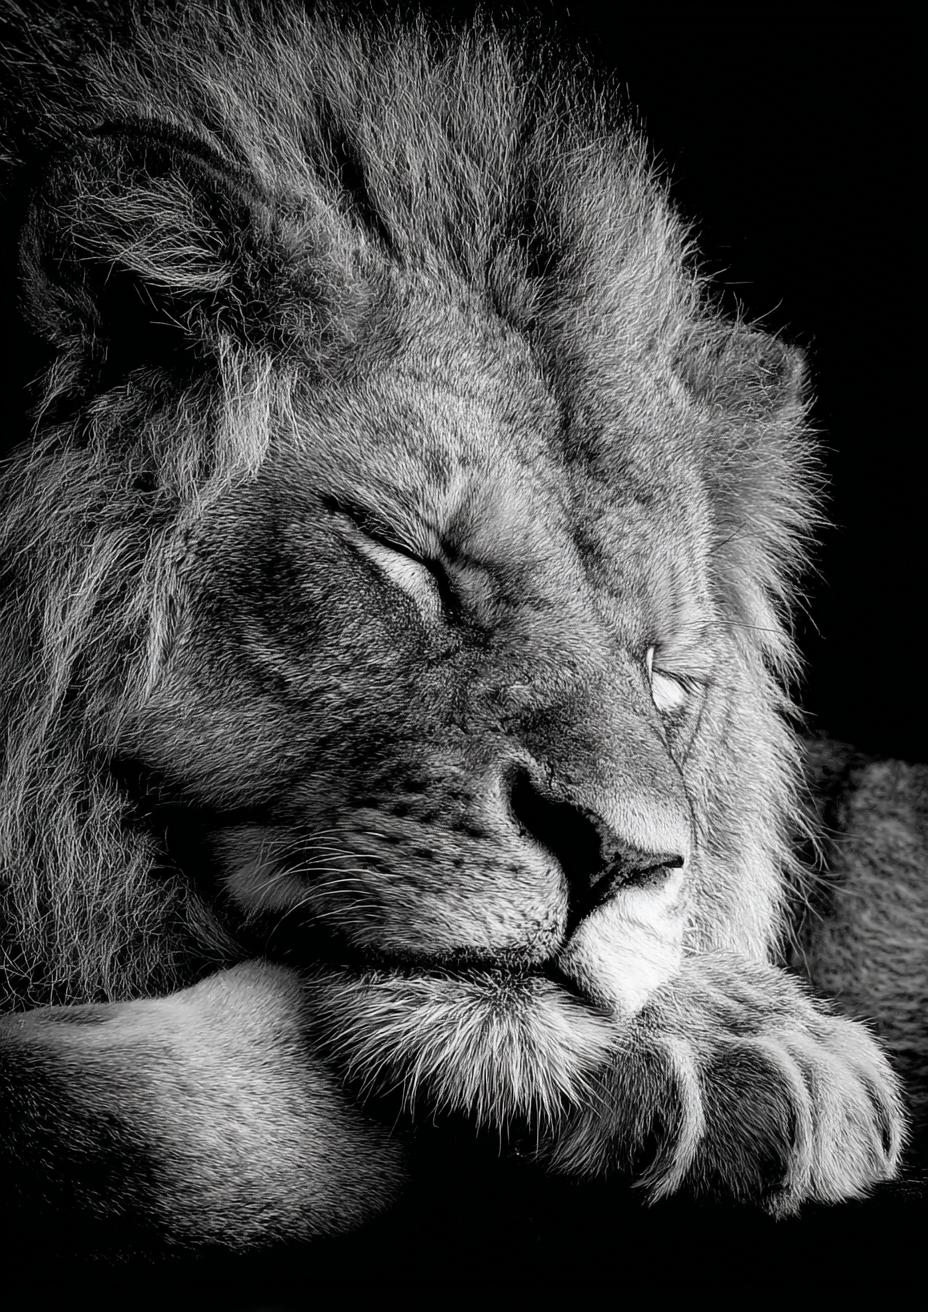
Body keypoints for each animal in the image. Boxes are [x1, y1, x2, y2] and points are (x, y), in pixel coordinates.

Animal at [0, 1, 917, 1255]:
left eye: (663, 677)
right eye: (408, 556)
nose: (618, 860)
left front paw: (726, 1029)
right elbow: (150, 1124)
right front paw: (741, 1035)